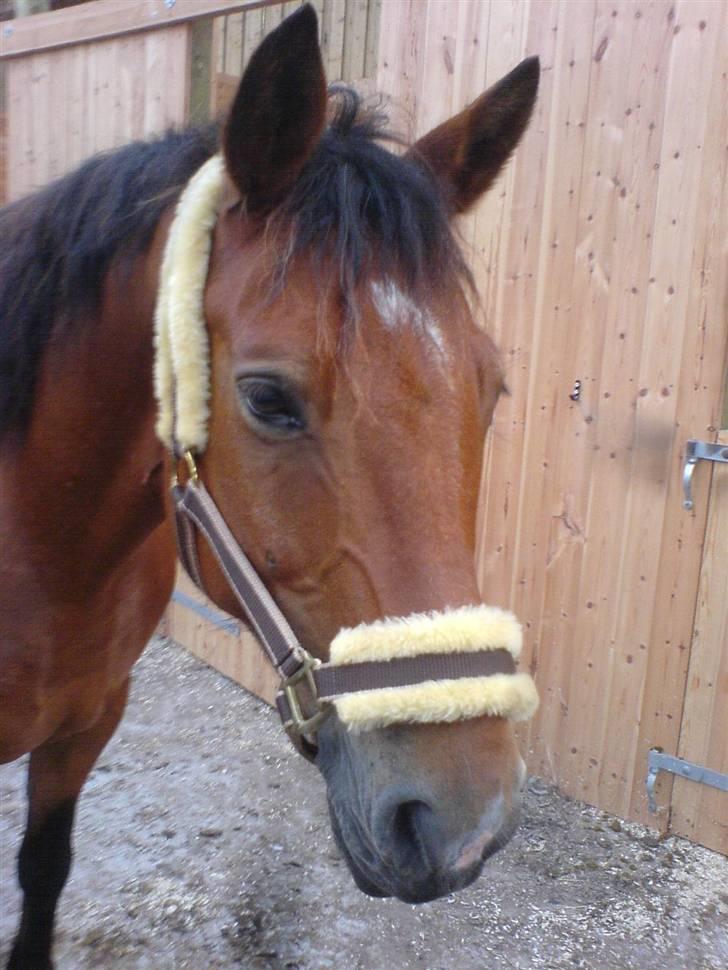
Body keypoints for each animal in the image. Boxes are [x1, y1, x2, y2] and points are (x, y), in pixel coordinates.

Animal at [0, 5, 539, 968]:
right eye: (266, 398)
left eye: (493, 388)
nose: (464, 826)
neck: (42, 549)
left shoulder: (86, 723)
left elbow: (43, 869)